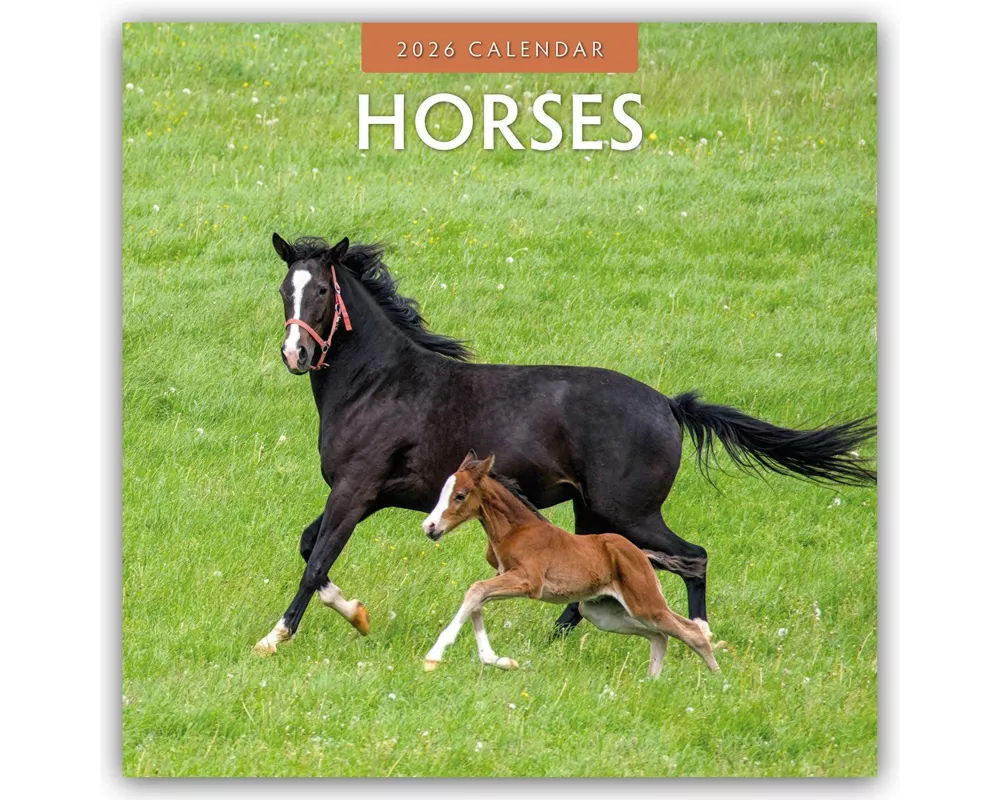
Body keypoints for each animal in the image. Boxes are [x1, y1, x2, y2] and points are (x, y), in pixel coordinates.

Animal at [420, 452, 721, 677]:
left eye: (460, 495)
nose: (430, 527)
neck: (516, 529)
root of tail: (642, 555)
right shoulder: (504, 575)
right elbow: (477, 602)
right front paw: (497, 660)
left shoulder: (529, 581)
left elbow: (476, 590)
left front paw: (435, 654)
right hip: (602, 612)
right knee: (660, 635)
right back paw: (651, 682)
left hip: (644, 603)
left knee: (691, 631)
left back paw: (717, 682)